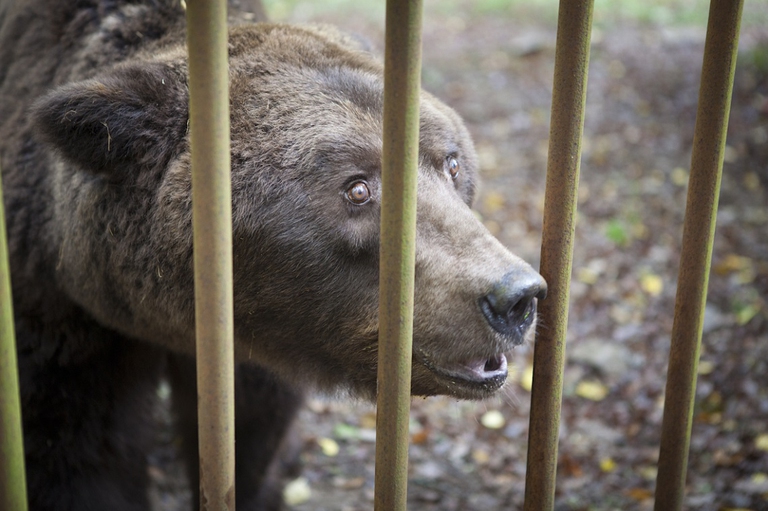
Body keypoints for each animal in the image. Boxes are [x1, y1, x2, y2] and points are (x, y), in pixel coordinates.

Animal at [0, 0, 547, 510]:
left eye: (451, 163)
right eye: (357, 187)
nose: (516, 296)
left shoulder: (270, 343)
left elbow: (252, 441)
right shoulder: (60, 320)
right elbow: (81, 453)